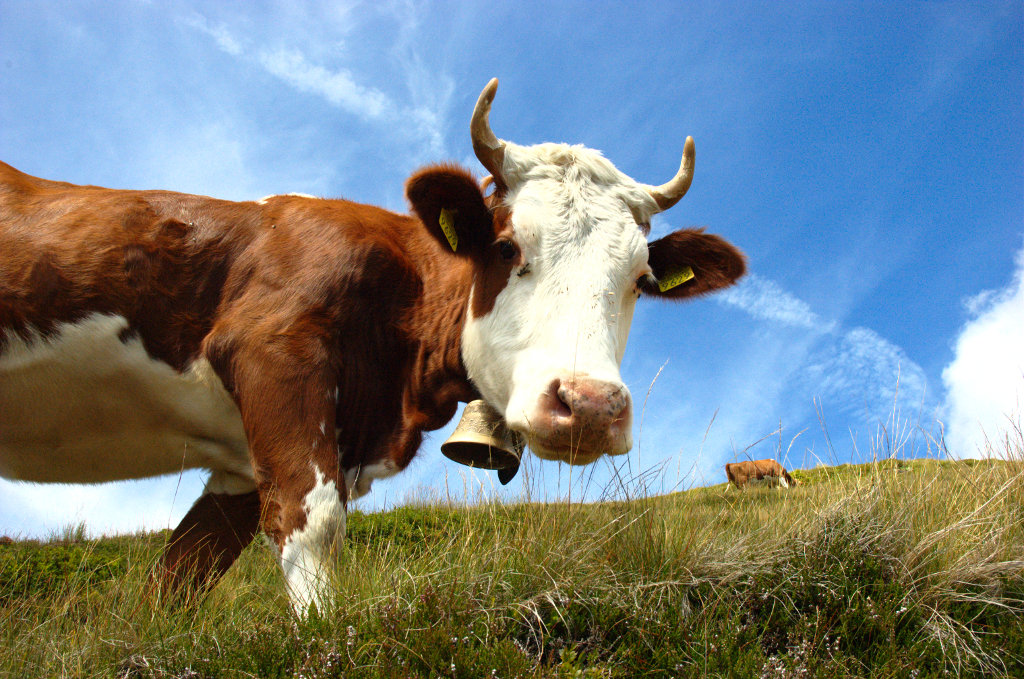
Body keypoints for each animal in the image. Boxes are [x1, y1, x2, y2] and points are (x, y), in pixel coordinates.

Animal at [0, 79, 745, 612]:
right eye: (507, 247)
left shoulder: (243, 461)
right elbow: (312, 523)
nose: (589, 406)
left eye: (640, 279)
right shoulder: (273, 354)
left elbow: (181, 576)